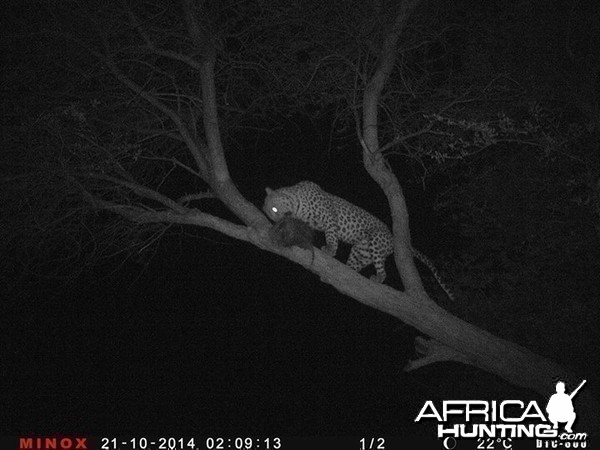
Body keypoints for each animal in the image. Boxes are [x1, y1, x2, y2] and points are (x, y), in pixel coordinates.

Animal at [262, 179, 454, 298]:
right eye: (270, 215)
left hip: (376, 242)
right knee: (355, 265)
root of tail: (392, 237)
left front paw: (330, 250)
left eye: (274, 209)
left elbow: (331, 235)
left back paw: (377, 278)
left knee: (383, 270)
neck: (298, 204)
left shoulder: (330, 218)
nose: (277, 222)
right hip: (361, 251)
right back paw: (347, 270)